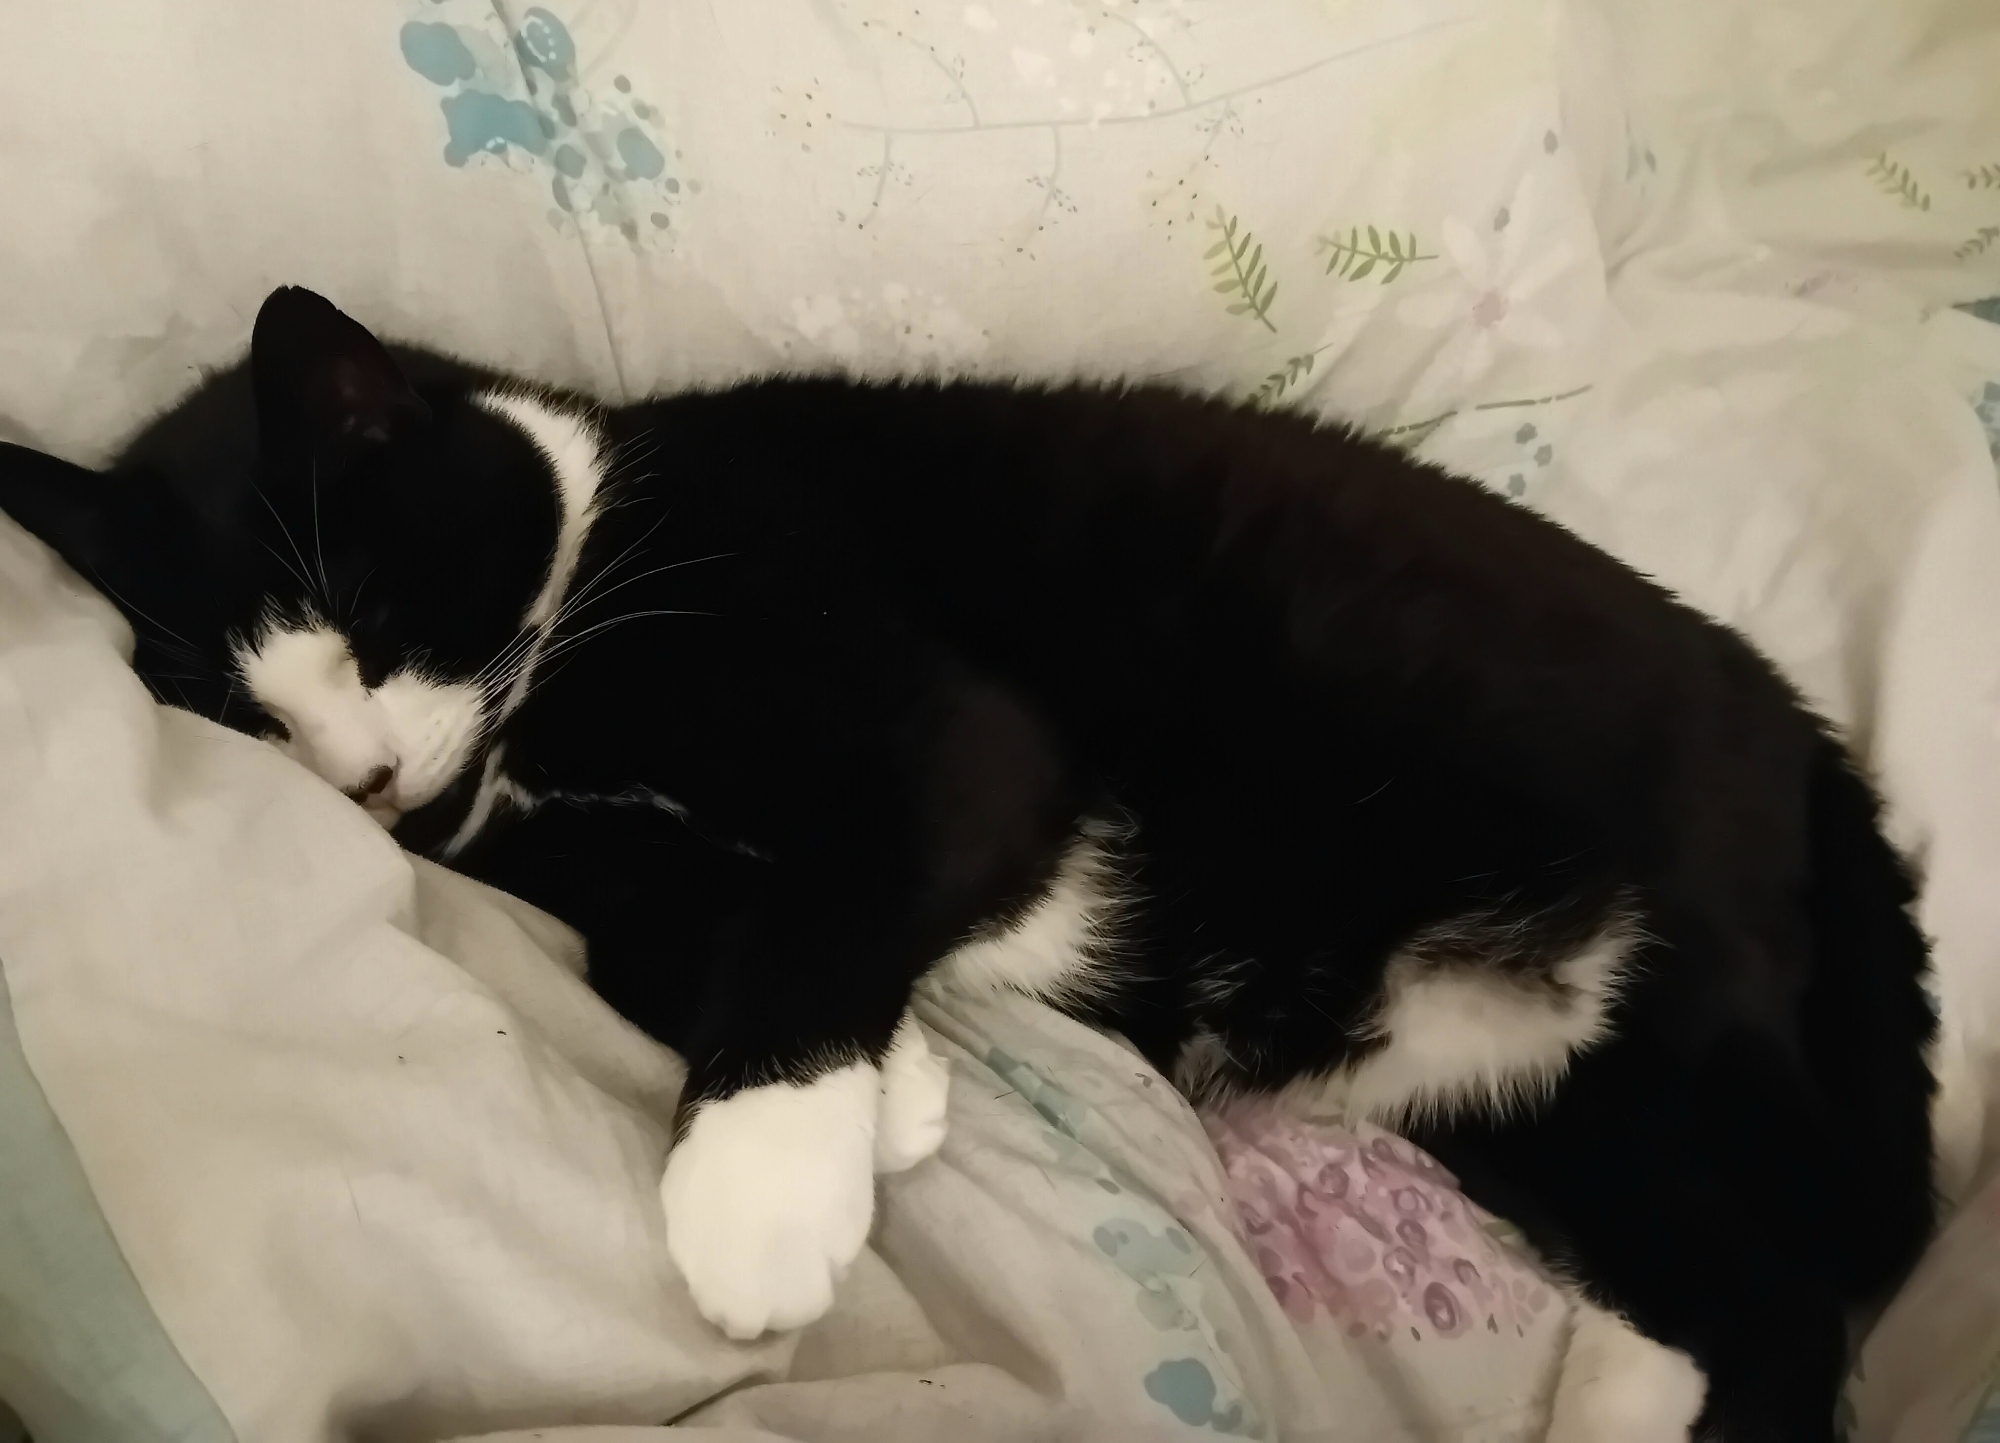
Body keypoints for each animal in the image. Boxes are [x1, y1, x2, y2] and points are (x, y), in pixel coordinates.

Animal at [0, 286, 1939, 1441]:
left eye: (371, 615)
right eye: (237, 713)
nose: (366, 777)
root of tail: (1795, 722)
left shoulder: (956, 735)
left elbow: (843, 888)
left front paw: (767, 1186)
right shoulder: (563, 851)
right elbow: (674, 926)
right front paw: (899, 1092)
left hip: (1688, 1011)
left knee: (1823, 1281)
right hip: (1538, 1102)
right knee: (1727, 1279)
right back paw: (1614, 1391)